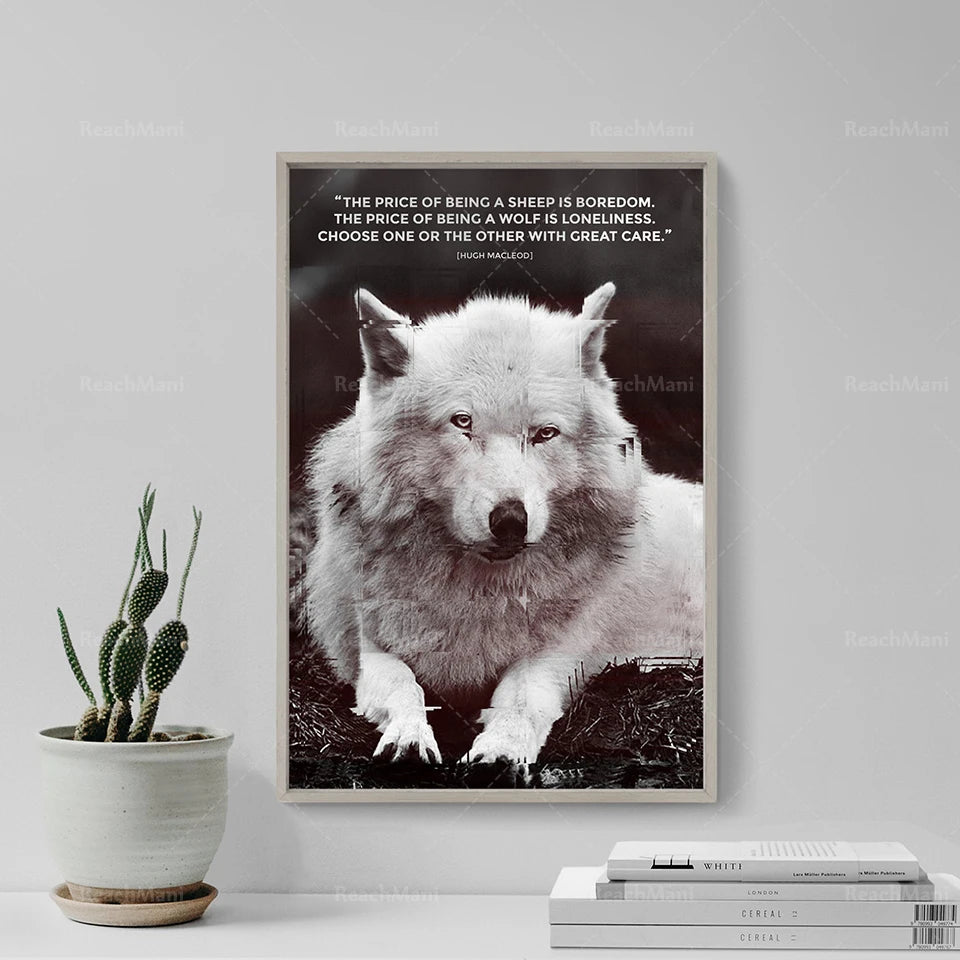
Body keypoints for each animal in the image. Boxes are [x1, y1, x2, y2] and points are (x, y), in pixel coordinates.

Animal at [301, 282, 703, 765]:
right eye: (462, 422)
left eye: (545, 433)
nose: (510, 521)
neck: (479, 592)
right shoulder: (373, 647)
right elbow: (403, 686)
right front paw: (409, 738)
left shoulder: (557, 655)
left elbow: (520, 701)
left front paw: (501, 751)